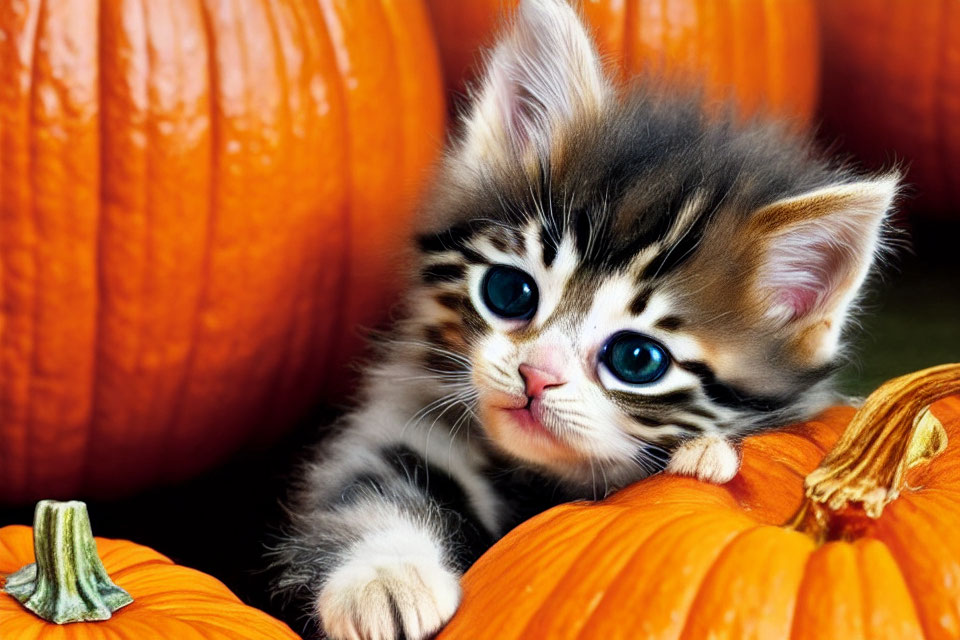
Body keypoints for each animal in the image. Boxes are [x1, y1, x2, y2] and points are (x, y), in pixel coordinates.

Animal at [274, 1, 896, 640]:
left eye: (637, 358)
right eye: (510, 291)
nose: (536, 376)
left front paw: (707, 455)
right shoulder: (402, 419)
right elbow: (368, 487)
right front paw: (384, 578)